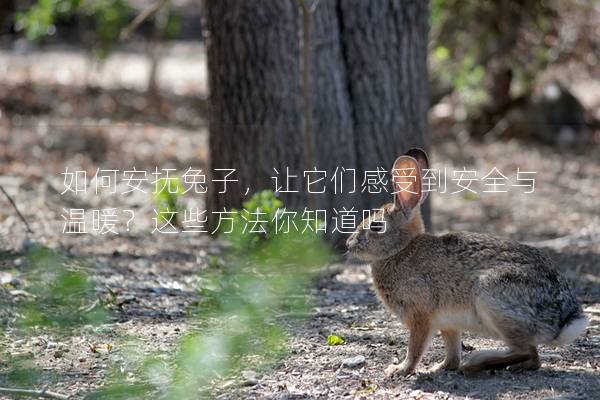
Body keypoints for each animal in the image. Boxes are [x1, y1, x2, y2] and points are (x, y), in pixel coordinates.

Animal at [344, 148, 588, 376]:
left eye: (376, 227)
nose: (349, 244)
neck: (401, 249)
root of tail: (563, 320)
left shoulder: (421, 315)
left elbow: (415, 348)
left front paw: (400, 369)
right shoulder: (448, 324)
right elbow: (452, 348)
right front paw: (442, 367)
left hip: (491, 299)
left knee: (527, 351)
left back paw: (477, 363)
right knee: (532, 358)